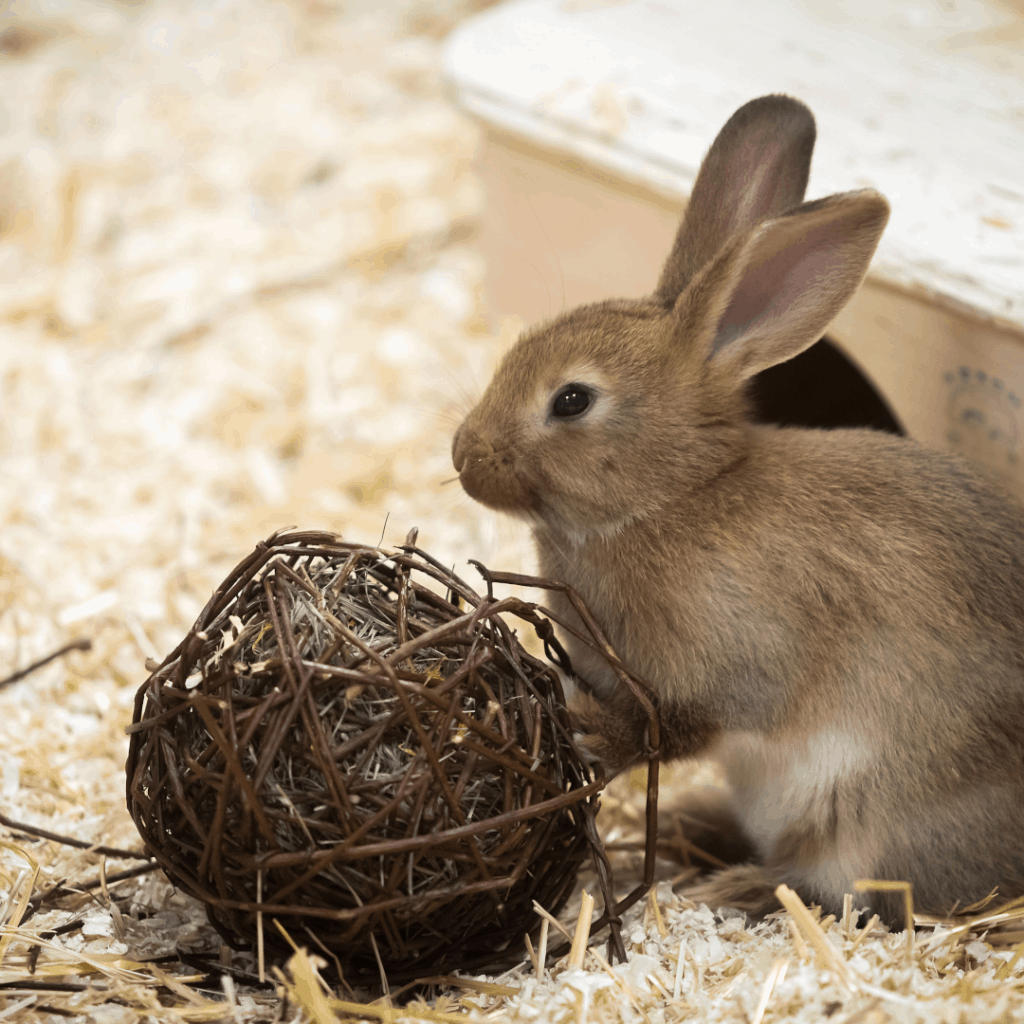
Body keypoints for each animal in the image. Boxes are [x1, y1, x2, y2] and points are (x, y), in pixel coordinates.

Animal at [450, 94, 1024, 929]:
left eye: (572, 400)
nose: (463, 456)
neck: (668, 498)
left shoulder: (732, 663)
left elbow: (674, 728)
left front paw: (590, 730)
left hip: (864, 824)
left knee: (848, 893)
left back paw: (734, 886)